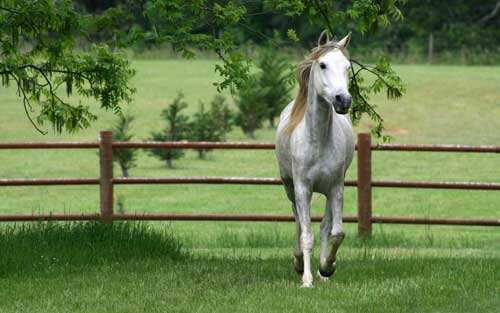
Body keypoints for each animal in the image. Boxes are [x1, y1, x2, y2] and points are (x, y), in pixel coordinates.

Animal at [276, 30, 354, 286]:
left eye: (347, 67)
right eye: (323, 64)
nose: (343, 100)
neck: (318, 141)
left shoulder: (336, 188)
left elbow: (335, 232)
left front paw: (326, 268)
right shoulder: (303, 189)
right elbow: (306, 234)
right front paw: (307, 279)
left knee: (325, 226)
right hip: (290, 188)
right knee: (298, 222)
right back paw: (299, 263)